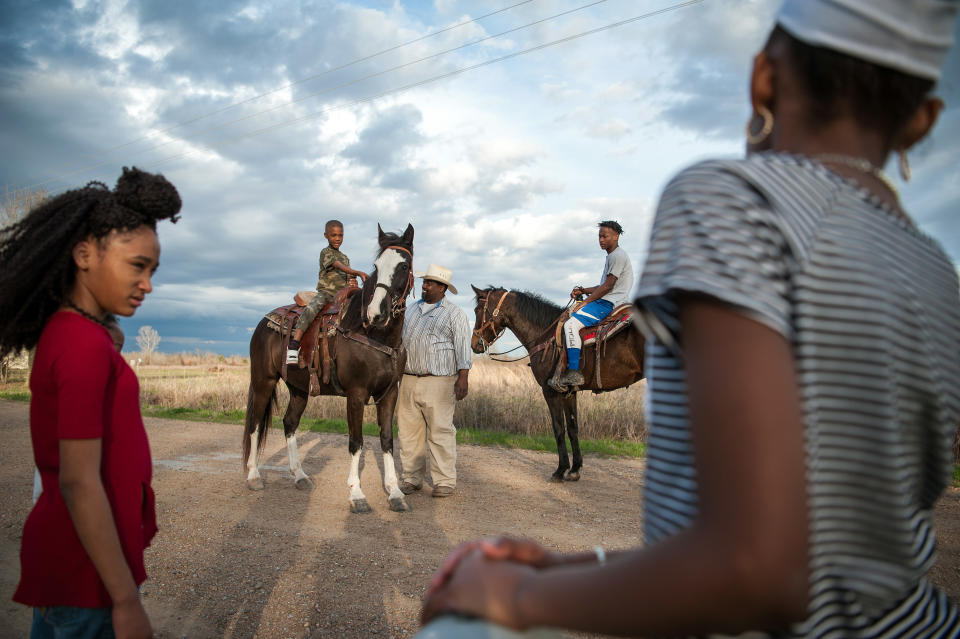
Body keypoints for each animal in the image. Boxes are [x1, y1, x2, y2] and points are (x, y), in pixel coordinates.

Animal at [240, 225, 412, 516]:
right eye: (376, 266)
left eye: (404, 266)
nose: (376, 313)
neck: (374, 334)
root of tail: (263, 323)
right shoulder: (356, 394)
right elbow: (356, 442)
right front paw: (356, 494)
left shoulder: (389, 394)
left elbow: (388, 440)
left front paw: (395, 492)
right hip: (263, 381)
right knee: (254, 423)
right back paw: (253, 476)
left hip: (299, 389)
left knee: (289, 423)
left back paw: (299, 476)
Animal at [470, 288, 644, 482]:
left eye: (478, 310)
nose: (474, 343)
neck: (545, 335)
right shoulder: (569, 392)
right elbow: (573, 428)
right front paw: (574, 469)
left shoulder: (550, 391)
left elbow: (558, 428)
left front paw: (561, 470)